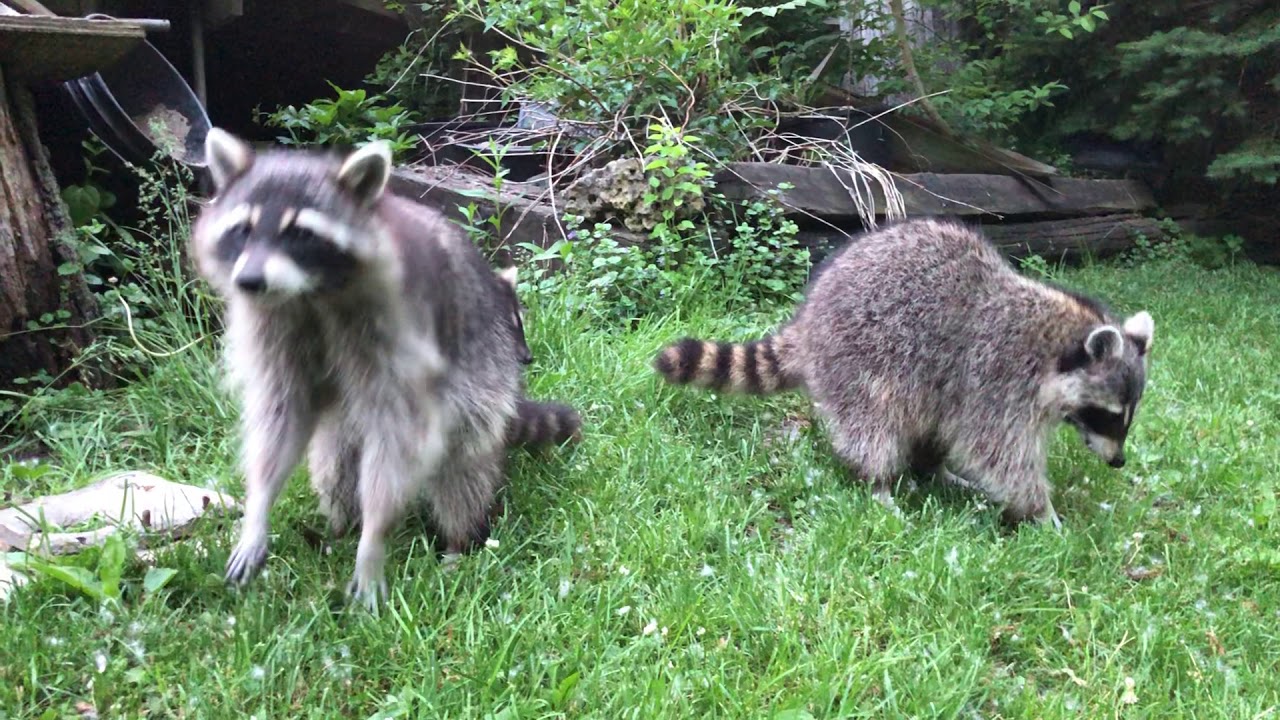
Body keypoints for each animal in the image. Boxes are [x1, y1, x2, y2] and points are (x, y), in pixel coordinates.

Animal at [191, 128, 575, 607]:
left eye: (300, 233)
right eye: (242, 230)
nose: (249, 281)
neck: (310, 291)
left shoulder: (399, 329)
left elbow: (401, 434)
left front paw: (373, 541)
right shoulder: (274, 326)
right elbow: (281, 416)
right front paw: (258, 508)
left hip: (482, 379)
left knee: (461, 468)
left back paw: (459, 538)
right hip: (343, 423)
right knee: (335, 466)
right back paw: (340, 526)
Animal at [654, 218, 1154, 527]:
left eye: (1126, 416)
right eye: (1108, 414)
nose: (1118, 461)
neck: (1057, 340)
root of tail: (810, 319)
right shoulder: (996, 376)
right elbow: (998, 452)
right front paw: (1041, 511)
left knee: (930, 421)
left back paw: (933, 469)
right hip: (861, 359)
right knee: (874, 425)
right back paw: (878, 482)